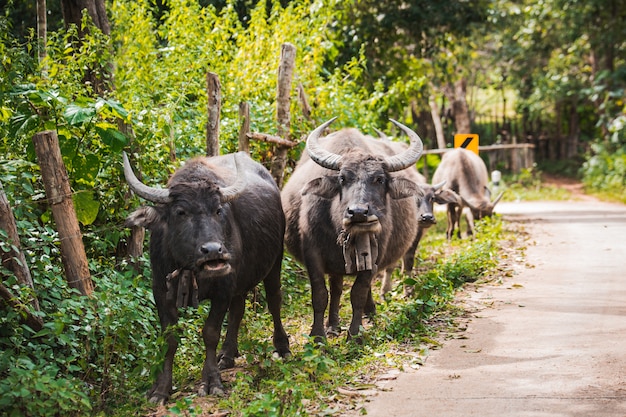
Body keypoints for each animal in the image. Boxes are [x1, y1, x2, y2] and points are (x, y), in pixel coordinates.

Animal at [123, 151, 292, 402]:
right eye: (180, 212)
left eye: (218, 211)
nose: (213, 250)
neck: (190, 268)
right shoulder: (160, 290)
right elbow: (169, 338)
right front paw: (160, 388)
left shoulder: (223, 288)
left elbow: (210, 332)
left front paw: (212, 382)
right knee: (238, 309)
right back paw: (227, 354)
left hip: (275, 261)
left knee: (274, 300)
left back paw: (282, 347)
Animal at [282, 117, 424, 342]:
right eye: (342, 178)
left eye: (379, 179)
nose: (358, 212)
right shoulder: (312, 253)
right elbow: (320, 294)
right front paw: (318, 336)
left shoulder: (375, 252)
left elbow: (358, 293)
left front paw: (355, 335)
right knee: (336, 288)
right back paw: (332, 326)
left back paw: (369, 312)